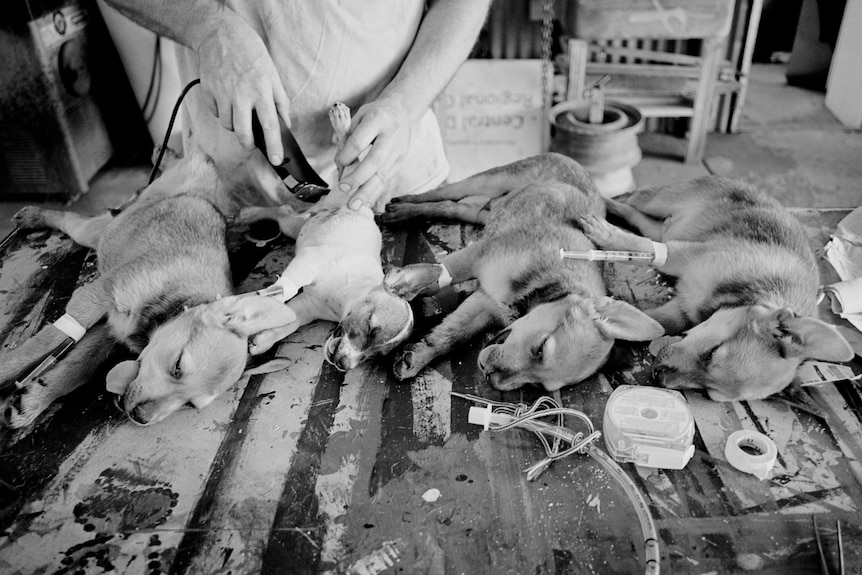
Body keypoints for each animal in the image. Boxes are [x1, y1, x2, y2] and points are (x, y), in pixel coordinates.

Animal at [0, 153, 296, 428]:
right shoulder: (94, 300)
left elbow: (80, 367)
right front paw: (9, 371)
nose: (140, 417)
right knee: (71, 218)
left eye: (189, 404)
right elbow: (44, 342)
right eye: (178, 366)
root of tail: (204, 163)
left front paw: (35, 398)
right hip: (98, 231)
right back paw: (33, 215)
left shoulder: (111, 330)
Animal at [382, 153, 664, 392]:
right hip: (490, 180)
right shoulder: (481, 255)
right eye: (541, 348)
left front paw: (417, 358)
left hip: (487, 210)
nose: (488, 376)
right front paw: (406, 284)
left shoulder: (483, 303)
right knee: (441, 192)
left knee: (454, 207)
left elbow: (449, 336)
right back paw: (404, 206)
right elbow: (443, 271)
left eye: (537, 386)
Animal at [580, 178, 856, 402]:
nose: (658, 375)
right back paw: (602, 208)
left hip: (663, 226)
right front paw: (611, 238)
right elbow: (645, 248)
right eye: (711, 354)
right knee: (629, 203)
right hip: (659, 201)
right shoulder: (681, 256)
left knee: (639, 219)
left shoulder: (682, 309)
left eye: (707, 392)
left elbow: (656, 322)